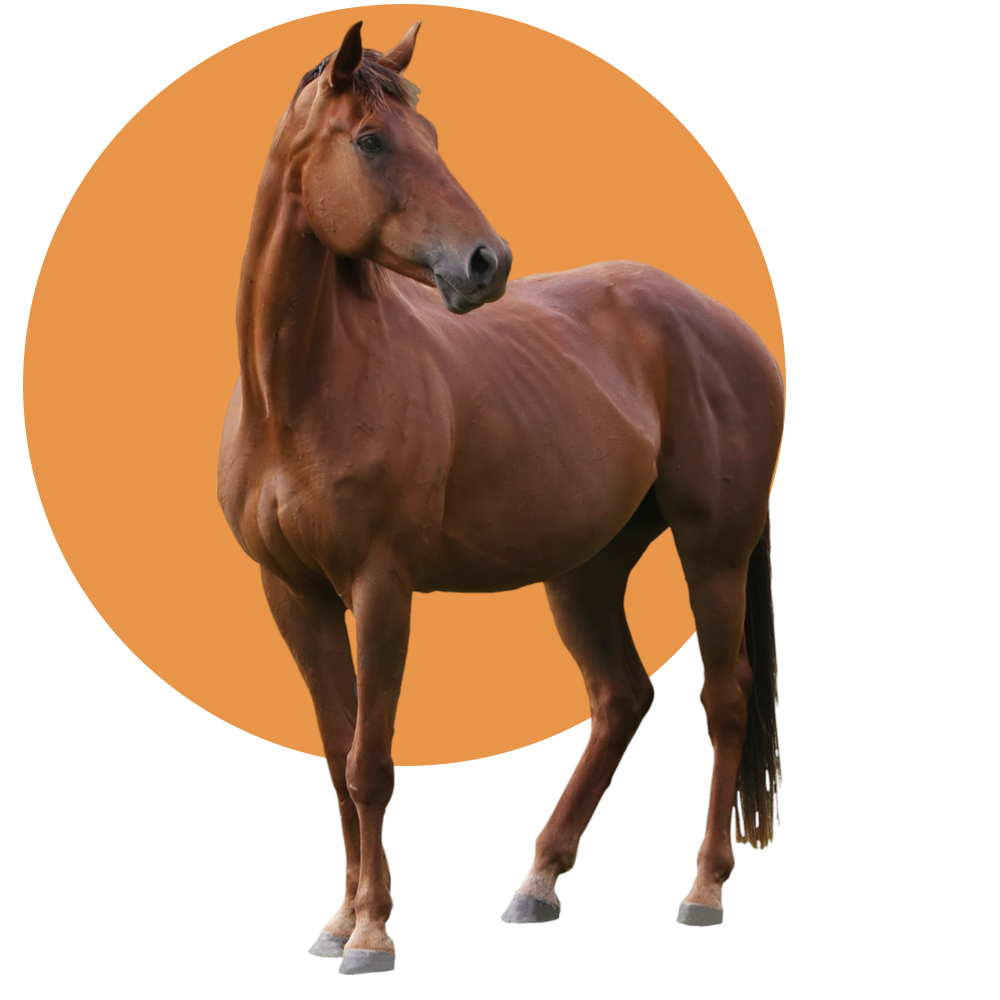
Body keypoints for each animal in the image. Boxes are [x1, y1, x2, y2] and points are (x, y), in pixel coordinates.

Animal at [218, 21, 785, 975]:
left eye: (432, 135)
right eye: (370, 141)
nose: (487, 263)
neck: (300, 393)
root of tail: (728, 327)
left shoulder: (381, 589)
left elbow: (371, 759)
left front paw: (372, 936)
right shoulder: (291, 594)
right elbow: (336, 752)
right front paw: (335, 924)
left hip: (714, 552)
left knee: (729, 701)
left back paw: (703, 894)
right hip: (585, 571)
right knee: (619, 697)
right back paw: (538, 885)